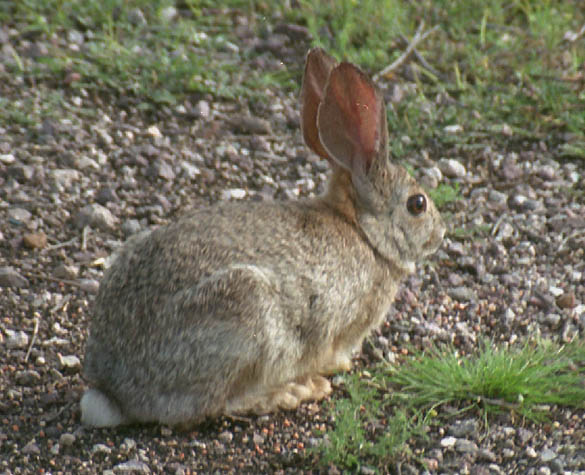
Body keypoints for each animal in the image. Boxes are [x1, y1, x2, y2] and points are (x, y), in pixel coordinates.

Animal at [78, 48, 442, 432]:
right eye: (417, 204)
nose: (441, 232)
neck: (363, 231)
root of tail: (115, 392)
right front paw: (335, 367)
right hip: (247, 317)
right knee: (217, 404)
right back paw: (294, 391)